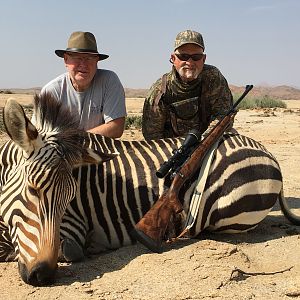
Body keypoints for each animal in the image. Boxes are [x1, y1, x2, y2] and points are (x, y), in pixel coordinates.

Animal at [0, 94, 298, 286]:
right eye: (32, 189)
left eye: (69, 199)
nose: (43, 276)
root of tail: (267, 152)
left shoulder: (72, 227)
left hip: (225, 211)